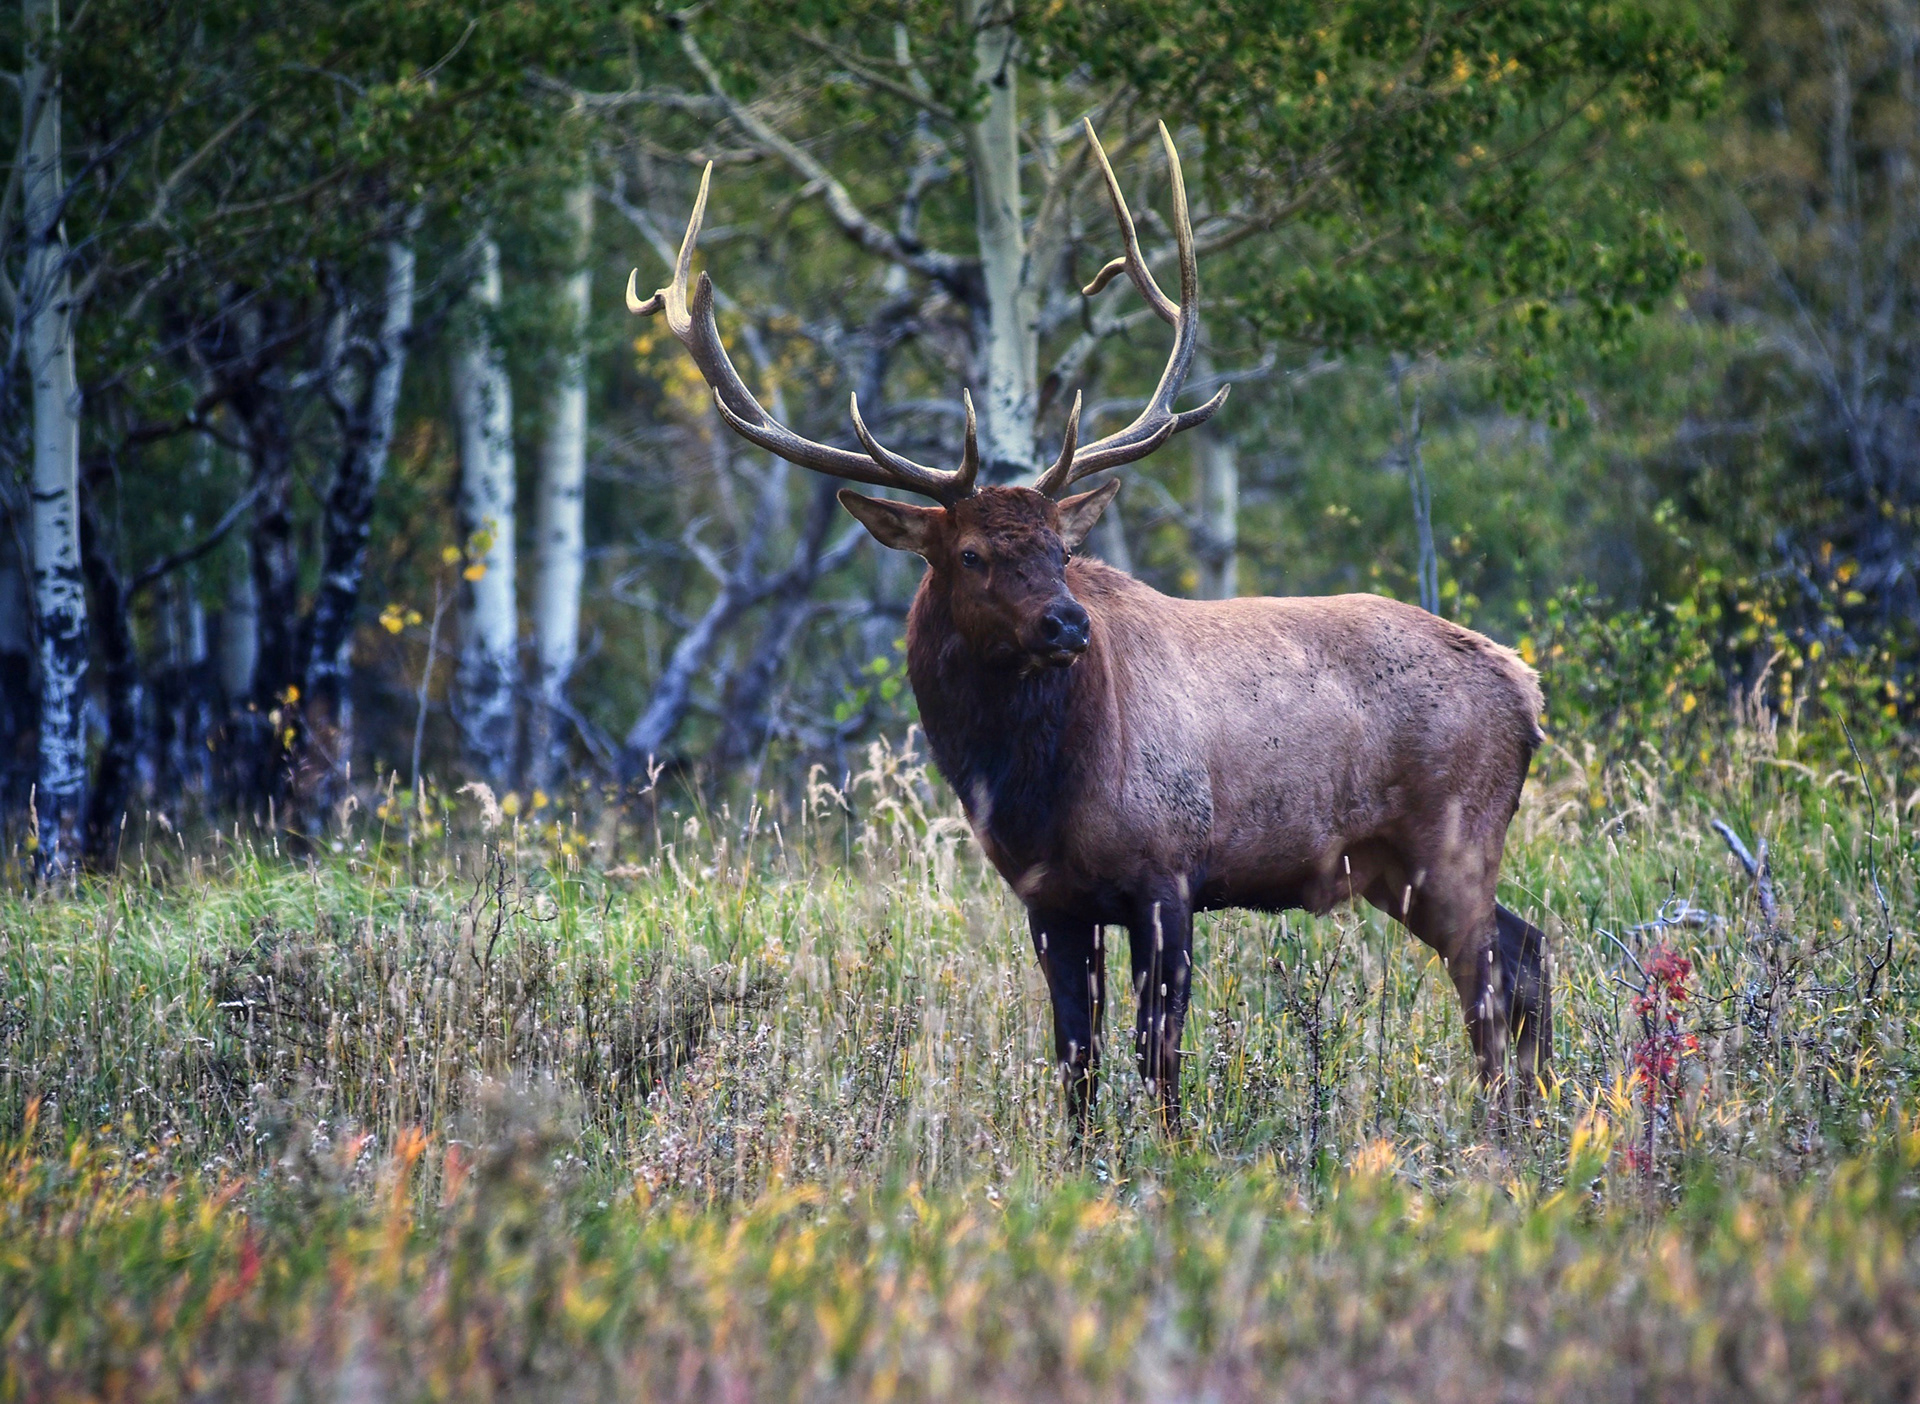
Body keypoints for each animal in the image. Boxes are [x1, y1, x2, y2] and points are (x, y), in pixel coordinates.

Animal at [628, 120, 1551, 1132]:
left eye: (1061, 551)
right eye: (970, 555)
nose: (1065, 624)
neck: (1033, 786)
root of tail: (1528, 688)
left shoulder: (1168, 871)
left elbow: (1159, 1056)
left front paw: (1173, 1155)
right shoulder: (1050, 899)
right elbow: (1075, 1057)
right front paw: (1084, 1159)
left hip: (1453, 838)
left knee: (1492, 972)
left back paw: (1505, 1128)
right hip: (1395, 866)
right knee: (1527, 950)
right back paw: (1539, 1120)